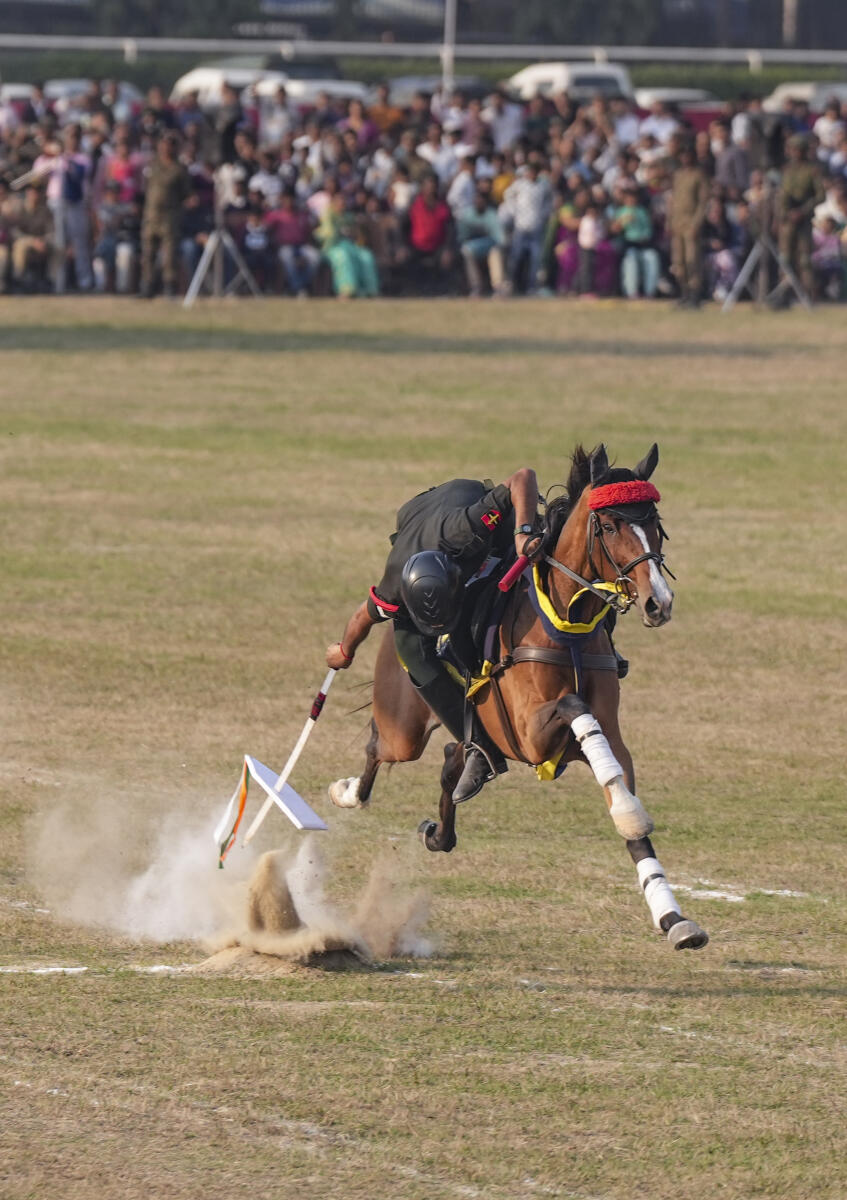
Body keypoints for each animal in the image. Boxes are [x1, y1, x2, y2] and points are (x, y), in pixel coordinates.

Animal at [329, 444, 708, 951]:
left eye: (656, 522)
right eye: (609, 526)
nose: (658, 603)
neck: (567, 624)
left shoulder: (610, 737)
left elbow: (622, 798)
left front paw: (674, 918)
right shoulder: (531, 734)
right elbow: (573, 706)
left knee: (452, 756)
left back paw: (444, 819)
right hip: (403, 723)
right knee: (379, 745)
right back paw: (348, 791)